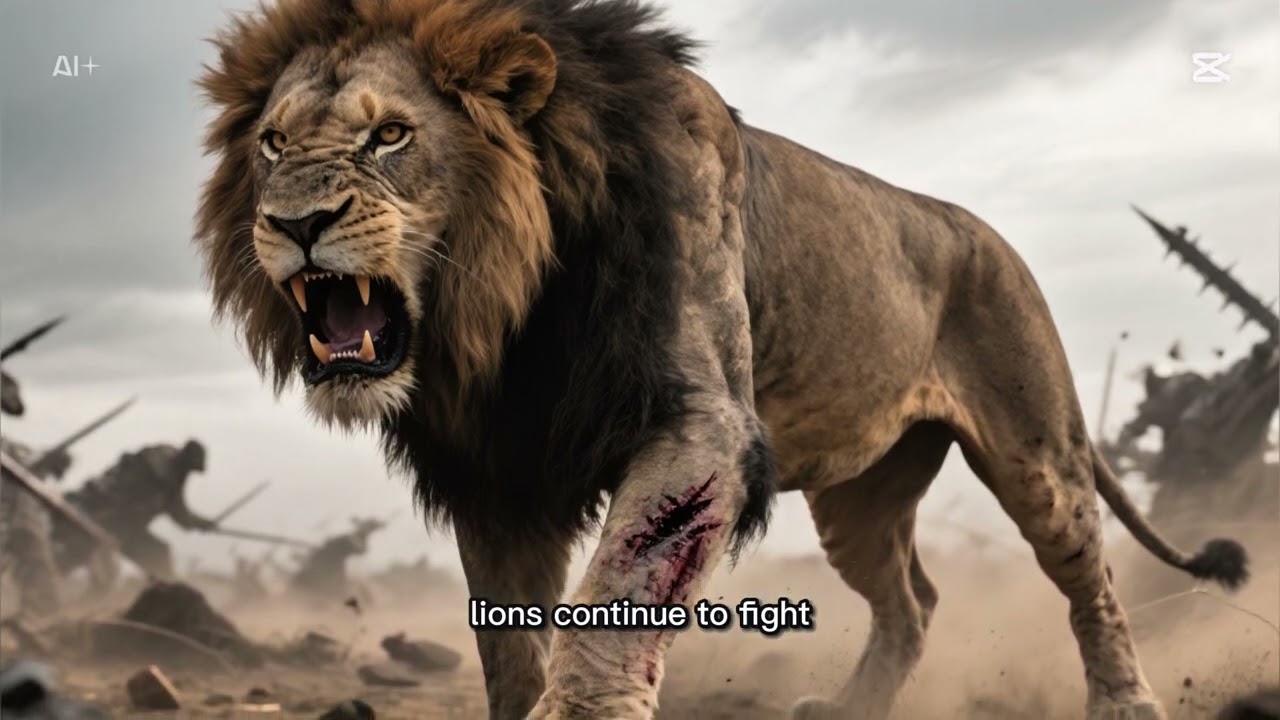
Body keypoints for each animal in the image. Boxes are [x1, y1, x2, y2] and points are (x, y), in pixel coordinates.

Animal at [194, 1, 1248, 718]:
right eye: (273, 142)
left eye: (390, 135)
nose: (294, 224)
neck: (506, 318)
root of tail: (991, 237)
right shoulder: (498, 472)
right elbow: (510, 640)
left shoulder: (702, 426)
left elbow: (614, 601)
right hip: (861, 501)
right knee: (912, 601)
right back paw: (851, 708)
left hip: (1040, 457)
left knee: (1090, 585)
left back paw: (1128, 700)